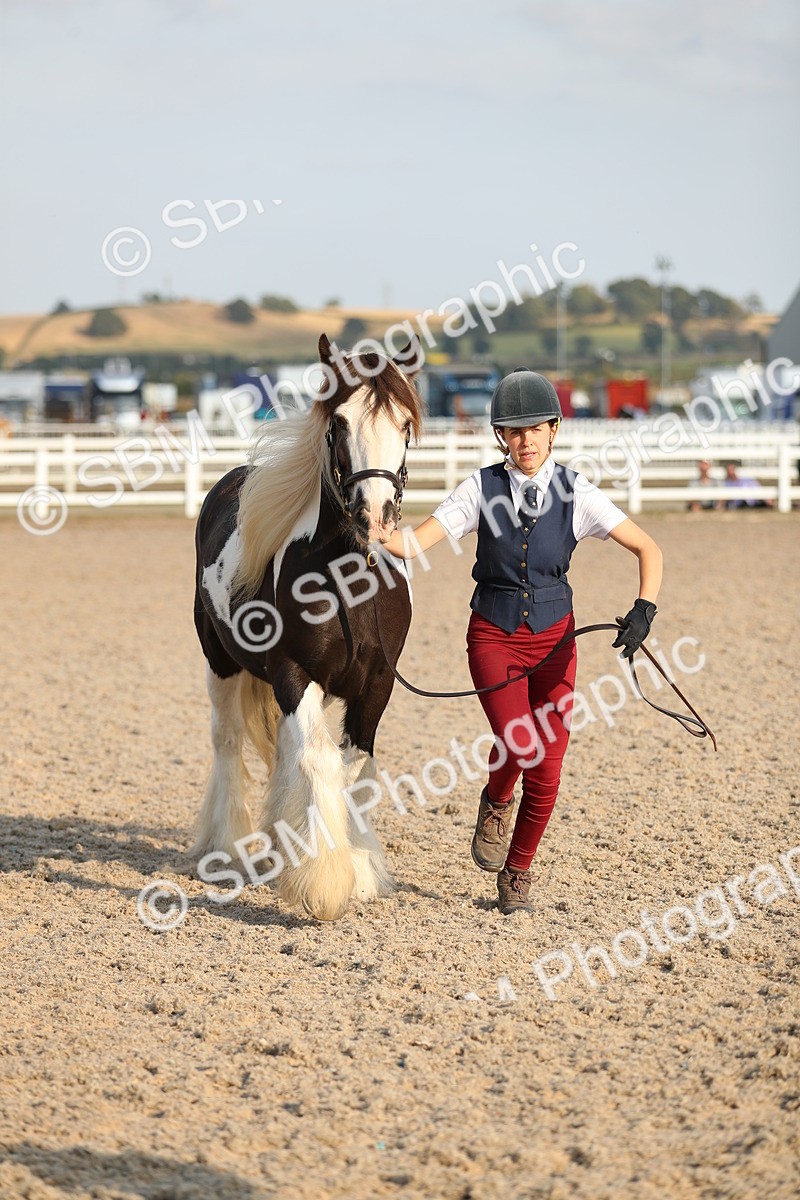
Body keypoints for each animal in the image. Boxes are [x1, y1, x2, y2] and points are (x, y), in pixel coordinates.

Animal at [192, 334, 422, 921]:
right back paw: (227, 846)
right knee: (228, 741)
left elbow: (355, 770)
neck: (349, 583)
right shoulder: (297, 676)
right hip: (220, 663)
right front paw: (323, 881)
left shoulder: (377, 686)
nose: (374, 516)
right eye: (338, 423)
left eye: (404, 424)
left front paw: (359, 870)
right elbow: (319, 761)